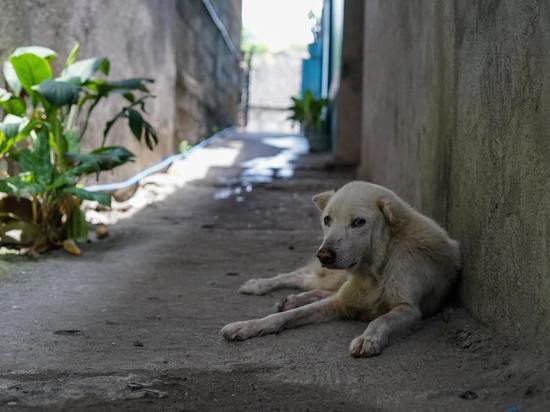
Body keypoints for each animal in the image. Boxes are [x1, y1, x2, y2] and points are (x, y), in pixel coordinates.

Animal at [220, 181, 462, 358]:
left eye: (359, 222)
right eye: (327, 220)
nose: (323, 255)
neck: (375, 271)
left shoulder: (410, 310)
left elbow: (381, 319)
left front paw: (368, 339)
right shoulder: (339, 302)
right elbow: (284, 317)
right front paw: (247, 326)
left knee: (313, 285)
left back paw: (292, 298)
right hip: (331, 277)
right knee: (300, 277)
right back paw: (259, 285)